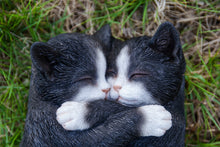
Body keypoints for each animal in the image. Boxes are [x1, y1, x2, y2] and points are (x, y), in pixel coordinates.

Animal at [21, 23, 174, 146]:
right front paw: (152, 117)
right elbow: (109, 132)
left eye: (106, 72)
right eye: (85, 78)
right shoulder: (49, 129)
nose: (107, 89)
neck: (43, 98)